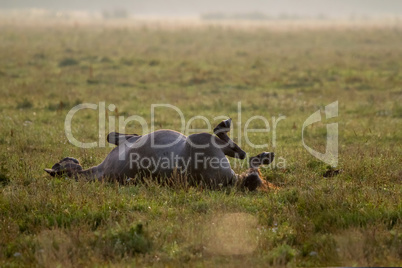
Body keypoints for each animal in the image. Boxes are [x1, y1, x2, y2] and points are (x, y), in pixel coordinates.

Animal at [45, 119, 274, 191]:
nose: (70, 158)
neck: (99, 172)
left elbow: (112, 135)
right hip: (204, 140)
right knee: (238, 152)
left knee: (249, 165)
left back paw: (263, 156)